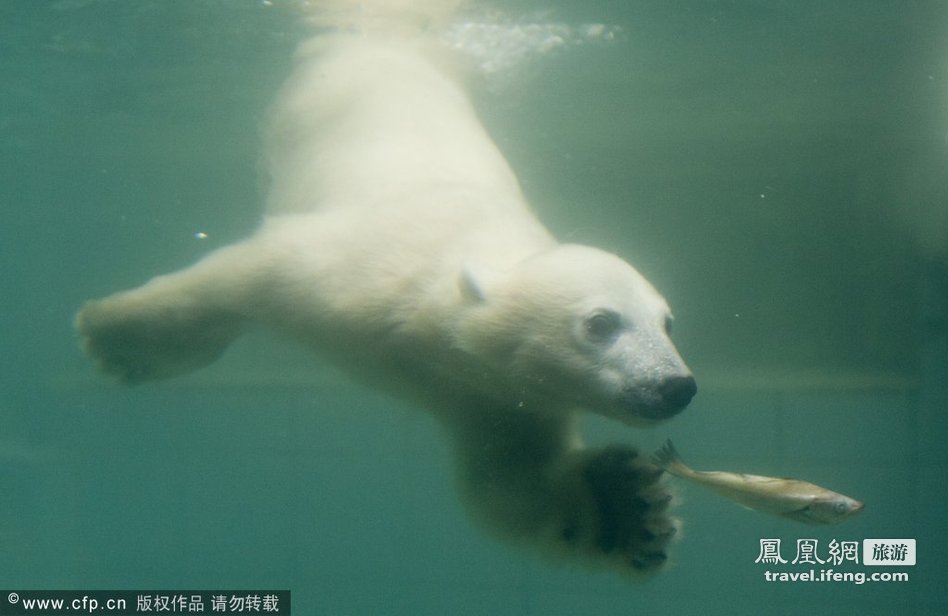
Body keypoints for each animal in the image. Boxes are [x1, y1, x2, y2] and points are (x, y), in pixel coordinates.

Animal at [76, 1, 696, 576]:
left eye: (666, 322)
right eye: (600, 323)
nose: (676, 386)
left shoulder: (492, 396)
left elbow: (510, 484)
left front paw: (625, 508)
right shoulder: (358, 271)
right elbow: (253, 267)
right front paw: (118, 342)